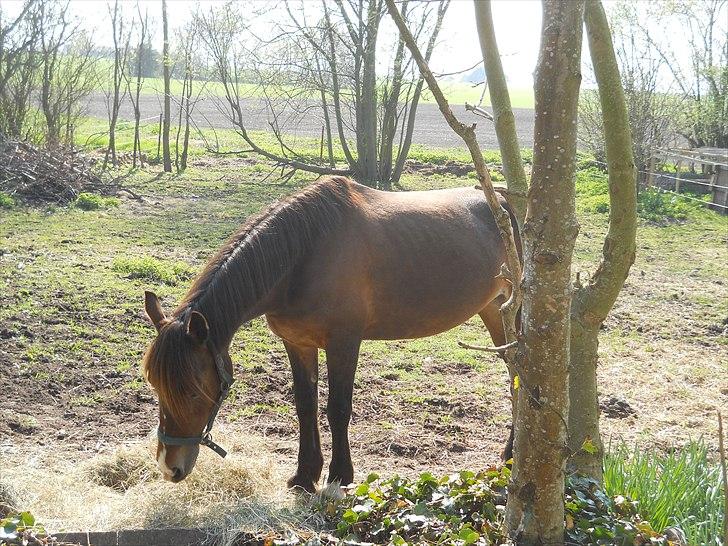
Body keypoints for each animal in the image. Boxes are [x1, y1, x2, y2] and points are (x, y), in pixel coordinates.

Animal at [142, 176, 516, 490]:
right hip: (496, 312)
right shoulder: (297, 343)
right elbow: (305, 406)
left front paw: (339, 475)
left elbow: (338, 408)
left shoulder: (343, 344)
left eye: (194, 392)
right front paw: (305, 475)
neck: (304, 255)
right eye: (156, 386)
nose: (169, 467)